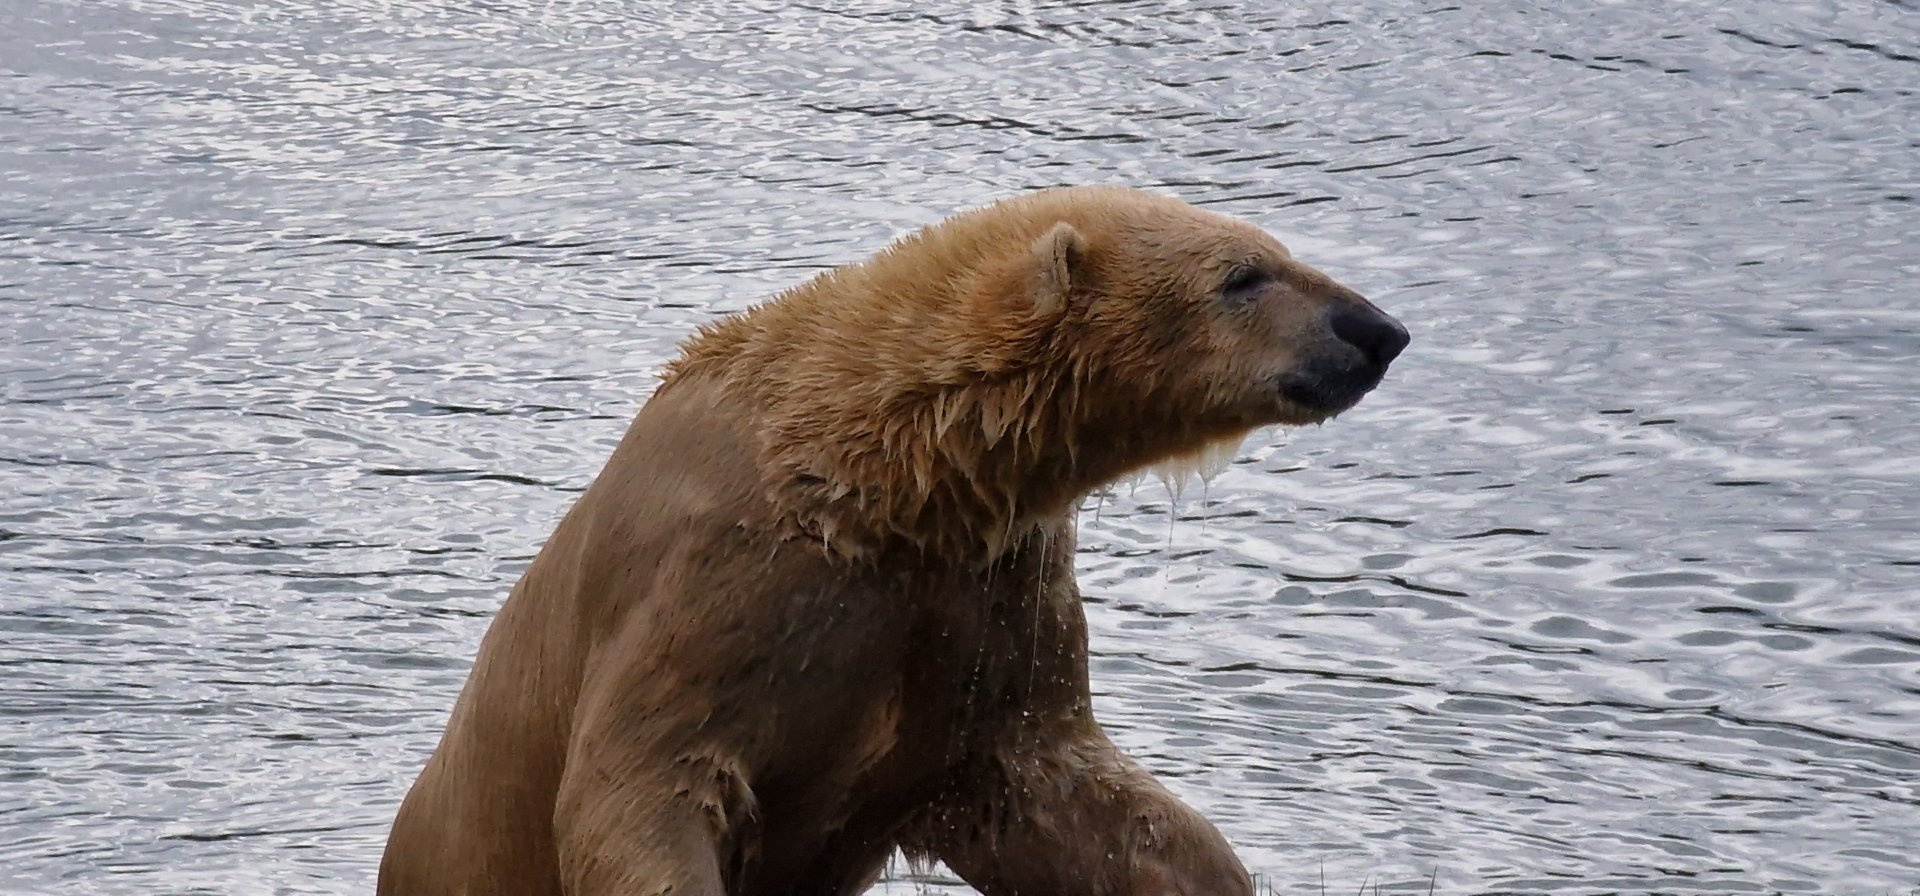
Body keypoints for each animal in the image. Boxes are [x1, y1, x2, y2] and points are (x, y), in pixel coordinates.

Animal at [377, 185, 1408, 896]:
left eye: (1279, 250)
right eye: (1242, 277)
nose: (1378, 329)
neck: (884, 474)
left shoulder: (982, 601)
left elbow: (1063, 790)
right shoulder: (723, 580)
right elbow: (638, 783)